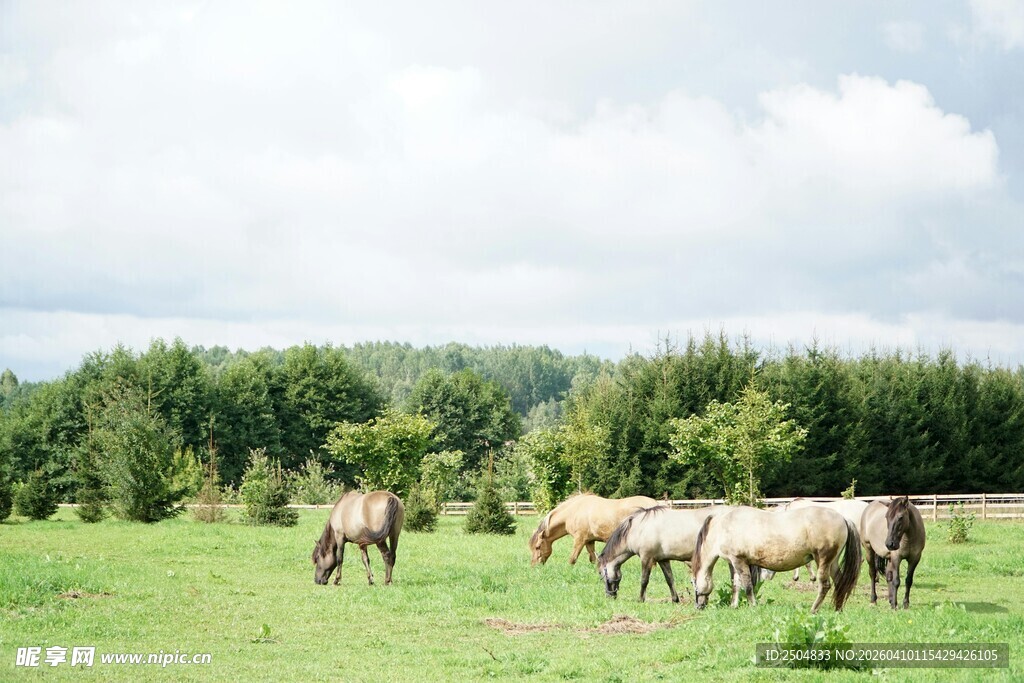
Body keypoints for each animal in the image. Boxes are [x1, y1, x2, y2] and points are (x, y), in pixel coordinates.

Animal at [528, 493, 658, 566]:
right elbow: (594, 559)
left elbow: (572, 559)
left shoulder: (579, 540)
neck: (574, 511)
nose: (534, 566)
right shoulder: (589, 541)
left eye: (537, 547)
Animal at [598, 505, 731, 602]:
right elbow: (669, 579)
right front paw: (675, 599)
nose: (610, 596)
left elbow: (644, 580)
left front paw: (640, 599)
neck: (638, 529)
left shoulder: (647, 558)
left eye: (600, 573)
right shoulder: (663, 560)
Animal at [691, 506, 861, 613]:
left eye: (693, 584)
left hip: (823, 560)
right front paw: (734, 606)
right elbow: (736, 585)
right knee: (840, 582)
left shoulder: (739, 561)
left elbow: (747, 585)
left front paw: (753, 606)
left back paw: (813, 609)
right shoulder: (735, 563)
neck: (723, 528)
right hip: (832, 562)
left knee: (825, 585)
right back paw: (838, 609)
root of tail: (843, 518)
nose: (698, 606)